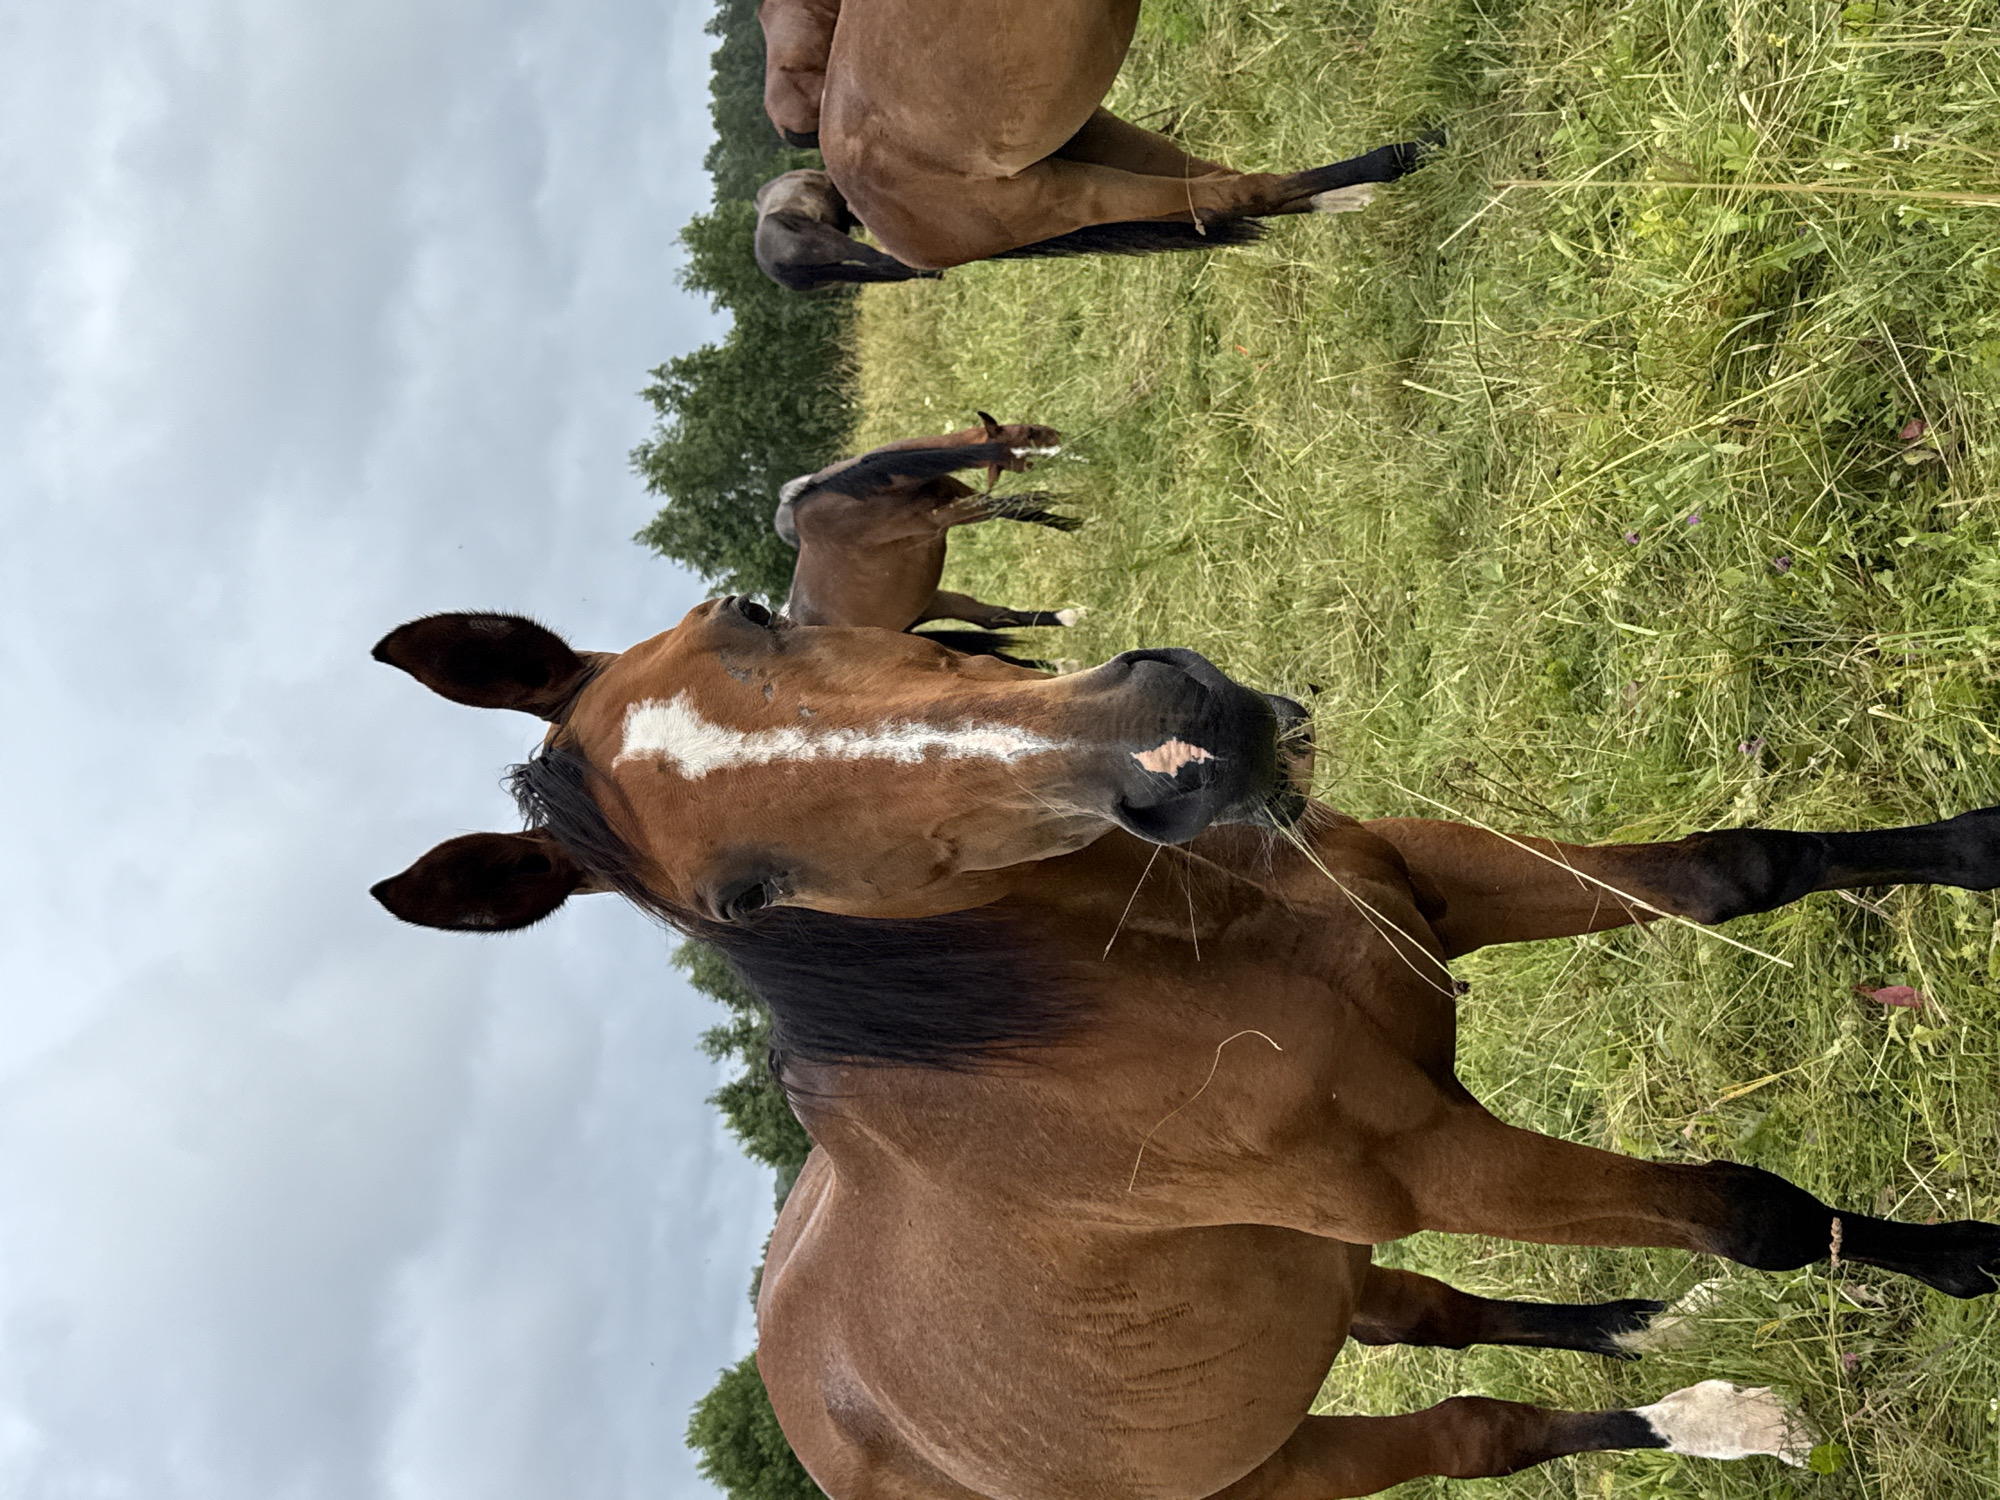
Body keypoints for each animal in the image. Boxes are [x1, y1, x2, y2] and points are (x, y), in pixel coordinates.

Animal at [369, 607, 2000, 1497]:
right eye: (741, 898)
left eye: (749, 613)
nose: (1181, 738)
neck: (1169, 958)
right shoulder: (1434, 1160)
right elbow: (1749, 1211)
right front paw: (1968, 1262)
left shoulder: (1431, 888)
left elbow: (1744, 871)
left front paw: (1983, 841)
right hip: (1297, 1458)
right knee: (1477, 1429)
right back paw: (1724, 1422)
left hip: (1323, 1278)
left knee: (1433, 1321)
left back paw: (1673, 1362)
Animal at [778, 417, 1083, 637]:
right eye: (1030, 432)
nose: (1062, 443)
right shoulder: (953, 515)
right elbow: (1023, 501)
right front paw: (1080, 501)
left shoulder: (963, 496)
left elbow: (1024, 509)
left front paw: (1071, 520)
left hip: (930, 604)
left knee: (993, 618)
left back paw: (1068, 616)